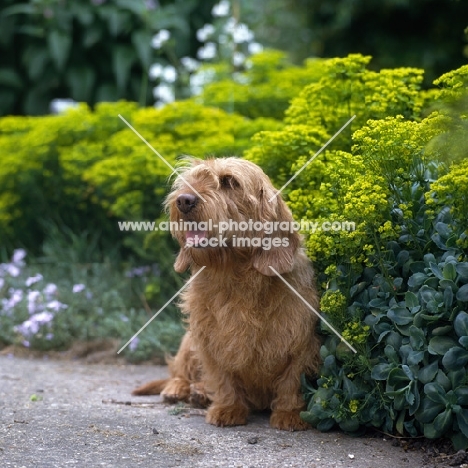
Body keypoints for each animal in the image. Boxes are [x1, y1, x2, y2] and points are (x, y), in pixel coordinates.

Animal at [133, 158, 320, 432]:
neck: (234, 276)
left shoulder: (303, 342)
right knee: (178, 372)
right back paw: (180, 389)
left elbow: (292, 380)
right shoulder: (208, 340)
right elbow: (221, 378)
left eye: (229, 182)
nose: (184, 200)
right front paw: (227, 408)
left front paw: (290, 413)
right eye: (190, 179)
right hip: (188, 341)